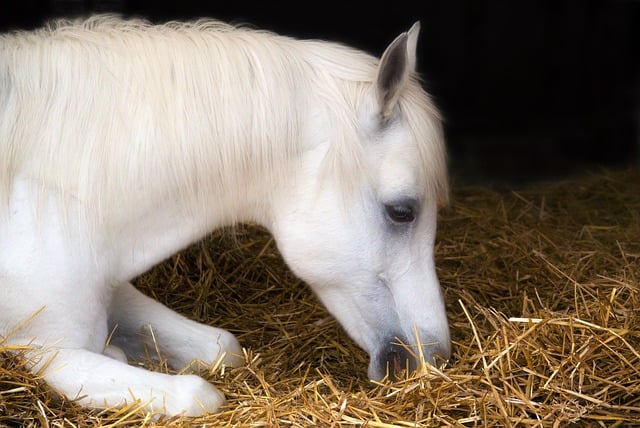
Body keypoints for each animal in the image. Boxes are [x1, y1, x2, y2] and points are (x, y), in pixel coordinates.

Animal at [0, 15, 450, 414]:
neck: (55, 189)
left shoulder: (114, 289)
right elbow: (198, 393)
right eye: (401, 211)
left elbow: (222, 346)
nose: (436, 359)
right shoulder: (51, 352)